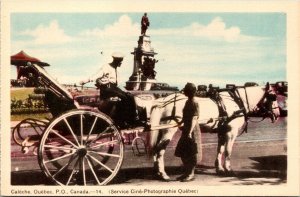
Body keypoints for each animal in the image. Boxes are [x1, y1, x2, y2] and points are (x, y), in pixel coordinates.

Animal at [149, 84, 278, 180]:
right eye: (273, 96)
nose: (278, 114)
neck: (237, 102)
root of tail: (163, 100)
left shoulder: (222, 132)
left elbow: (220, 150)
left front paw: (219, 169)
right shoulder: (231, 132)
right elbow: (228, 151)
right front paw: (229, 169)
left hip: (160, 130)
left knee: (155, 148)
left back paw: (157, 172)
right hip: (169, 130)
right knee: (160, 149)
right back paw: (163, 174)